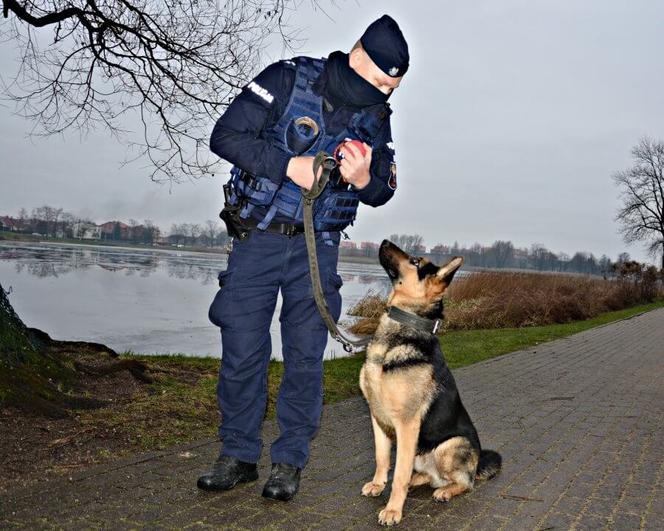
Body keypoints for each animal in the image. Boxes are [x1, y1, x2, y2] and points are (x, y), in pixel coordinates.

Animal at [360, 242, 500, 528]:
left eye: (415, 261)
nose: (385, 242)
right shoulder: (377, 418)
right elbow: (382, 458)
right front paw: (379, 484)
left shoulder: (407, 425)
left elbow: (399, 474)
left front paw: (393, 510)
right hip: (421, 454)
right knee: (428, 476)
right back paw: (420, 480)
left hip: (450, 445)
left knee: (465, 483)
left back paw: (445, 491)